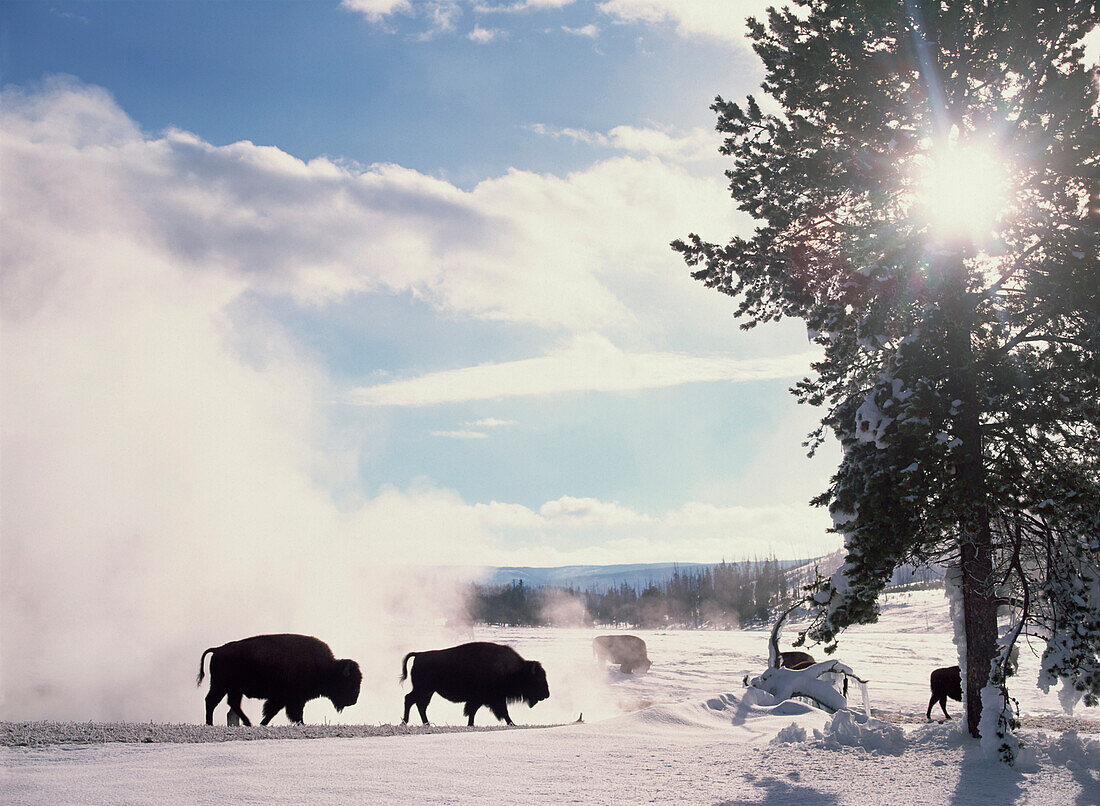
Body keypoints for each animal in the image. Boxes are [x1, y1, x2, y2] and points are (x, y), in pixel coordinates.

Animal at [196, 633, 360, 725]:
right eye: (349, 681)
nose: (353, 701)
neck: (326, 667)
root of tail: (218, 650)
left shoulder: (284, 700)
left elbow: (273, 712)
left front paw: (263, 723)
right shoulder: (291, 699)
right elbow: (293, 714)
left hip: (230, 688)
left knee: (228, 704)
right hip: (222, 686)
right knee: (213, 702)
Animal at [400, 637, 550, 725]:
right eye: (537, 679)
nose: (547, 694)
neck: (514, 670)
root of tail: (419, 655)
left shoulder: (487, 699)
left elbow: (474, 711)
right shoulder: (490, 698)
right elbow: (500, 711)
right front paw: (512, 723)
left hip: (429, 691)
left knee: (420, 705)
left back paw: (426, 724)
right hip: (423, 689)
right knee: (410, 699)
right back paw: (406, 722)